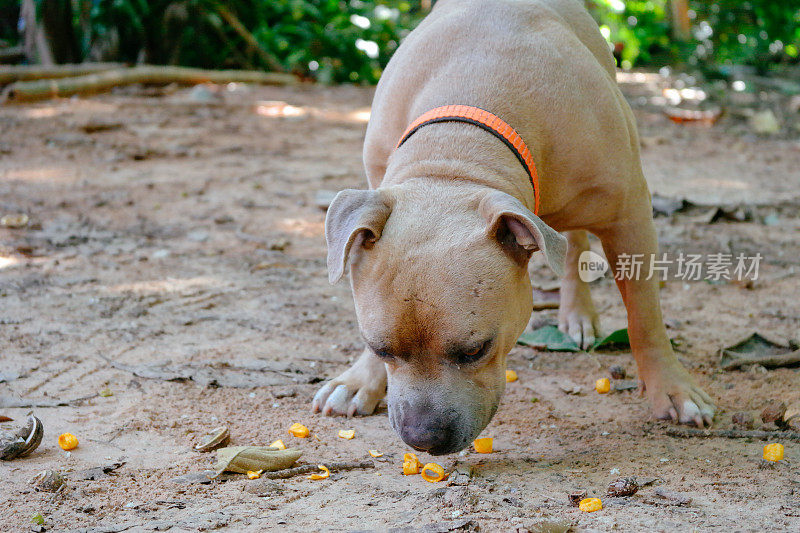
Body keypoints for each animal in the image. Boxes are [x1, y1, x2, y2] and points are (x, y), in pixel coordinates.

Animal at [310, 0, 716, 454]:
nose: (424, 438)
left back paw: (578, 313)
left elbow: (644, 314)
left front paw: (672, 388)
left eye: (475, 350)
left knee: (573, 244)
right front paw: (360, 379)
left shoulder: (630, 217)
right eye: (379, 347)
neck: (458, 152)